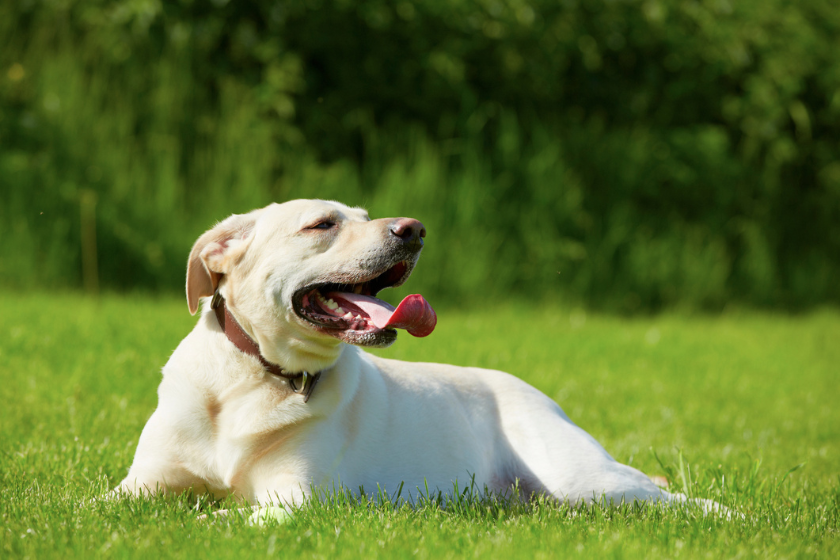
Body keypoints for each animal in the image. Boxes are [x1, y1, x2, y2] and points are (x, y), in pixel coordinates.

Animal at [116, 199, 720, 516]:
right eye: (322, 223)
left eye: (362, 213)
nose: (414, 229)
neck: (256, 377)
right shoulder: (138, 486)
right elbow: (99, 505)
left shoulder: (294, 498)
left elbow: (223, 516)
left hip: (586, 479)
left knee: (680, 500)